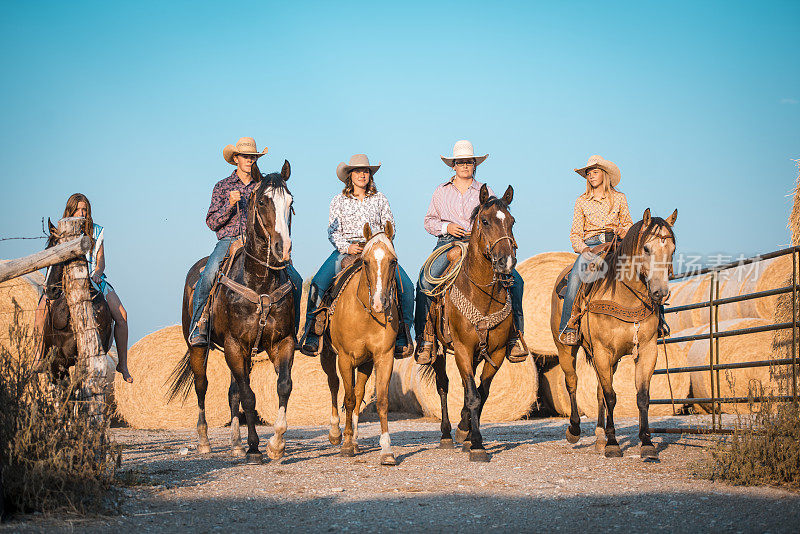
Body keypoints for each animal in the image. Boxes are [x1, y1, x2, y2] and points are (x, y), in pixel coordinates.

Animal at [170, 160, 296, 464]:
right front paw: (254, 449)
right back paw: (205, 441)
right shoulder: (234, 345)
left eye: (291, 202)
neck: (260, 282)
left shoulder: (282, 342)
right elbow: (249, 397)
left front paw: (276, 444)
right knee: (202, 386)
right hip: (198, 346)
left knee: (232, 392)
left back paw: (236, 443)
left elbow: (282, 386)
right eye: (262, 201)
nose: (283, 249)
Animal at [320, 222, 400, 464]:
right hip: (328, 356)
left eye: (393, 261)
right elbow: (346, 399)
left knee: (358, 393)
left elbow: (380, 400)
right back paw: (336, 433)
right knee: (334, 385)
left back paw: (355, 439)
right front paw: (345, 443)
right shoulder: (345, 358)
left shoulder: (384, 356)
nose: (379, 303)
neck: (366, 314)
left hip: (365, 363)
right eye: (366, 262)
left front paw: (386, 450)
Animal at [422, 185, 516, 464]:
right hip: (440, 350)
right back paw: (445, 435)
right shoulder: (462, 348)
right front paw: (477, 445)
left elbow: (480, 394)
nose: (506, 262)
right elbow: (473, 396)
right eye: (484, 221)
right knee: (443, 386)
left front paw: (466, 433)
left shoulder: (496, 352)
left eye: (512, 221)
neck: (483, 296)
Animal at [552, 209, 680, 460]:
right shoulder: (603, 351)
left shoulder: (647, 350)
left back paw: (599, 436)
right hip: (566, 349)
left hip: (609, 359)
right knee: (572, 382)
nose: (659, 292)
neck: (625, 296)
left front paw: (647, 443)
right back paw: (574, 430)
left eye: (672, 249)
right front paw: (613, 444)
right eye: (646, 248)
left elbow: (641, 397)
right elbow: (611, 396)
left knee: (599, 391)